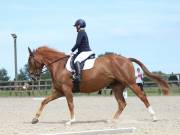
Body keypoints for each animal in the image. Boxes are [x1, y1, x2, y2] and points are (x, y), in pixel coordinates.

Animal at [27, 46, 169, 124]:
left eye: (30, 61)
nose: (32, 77)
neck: (59, 65)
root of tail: (126, 59)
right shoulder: (59, 91)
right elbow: (44, 101)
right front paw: (35, 119)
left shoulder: (66, 90)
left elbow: (70, 104)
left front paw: (71, 121)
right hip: (117, 87)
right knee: (122, 103)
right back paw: (112, 120)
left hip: (131, 83)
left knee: (142, 96)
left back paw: (154, 117)